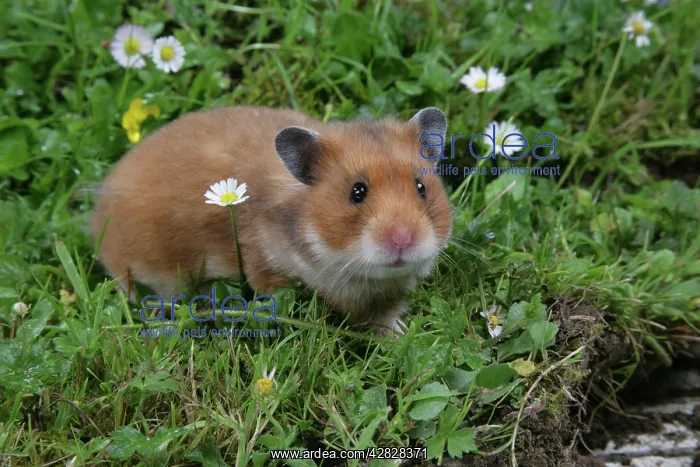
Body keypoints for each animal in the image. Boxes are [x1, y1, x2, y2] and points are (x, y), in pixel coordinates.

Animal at [91, 105, 453, 336]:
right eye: (357, 192)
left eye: (421, 187)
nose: (403, 239)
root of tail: (97, 212)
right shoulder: (262, 263)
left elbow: (387, 318)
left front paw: (401, 336)